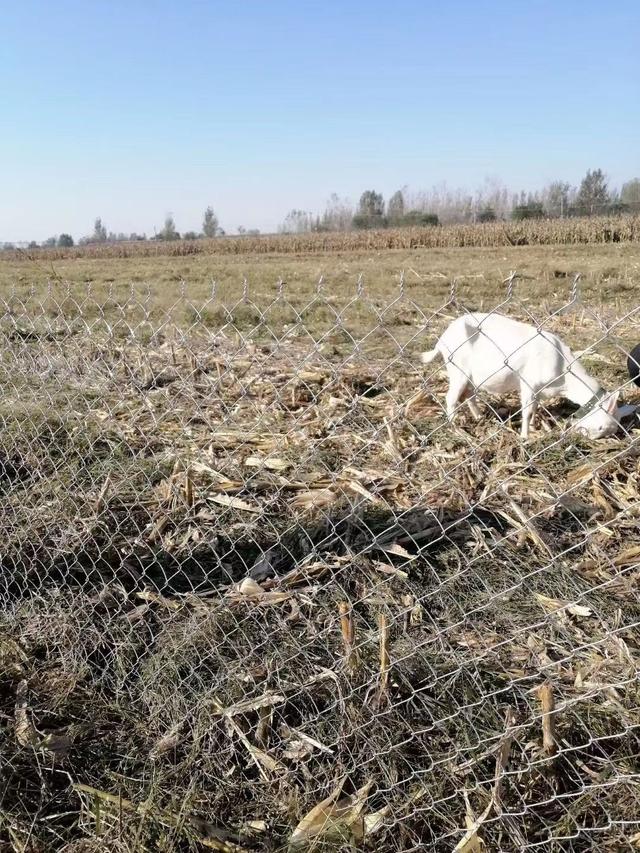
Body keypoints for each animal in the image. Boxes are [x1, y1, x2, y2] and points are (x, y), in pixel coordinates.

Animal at [420, 312, 620, 440]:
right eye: (601, 427)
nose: (587, 438)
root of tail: (442, 340)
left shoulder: (540, 391)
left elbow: (535, 408)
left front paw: (533, 427)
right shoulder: (529, 383)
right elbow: (527, 410)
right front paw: (525, 436)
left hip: (470, 374)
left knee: (469, 394)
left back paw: (479, 417)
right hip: (457, 368)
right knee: (451, 398)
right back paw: (455, 428)